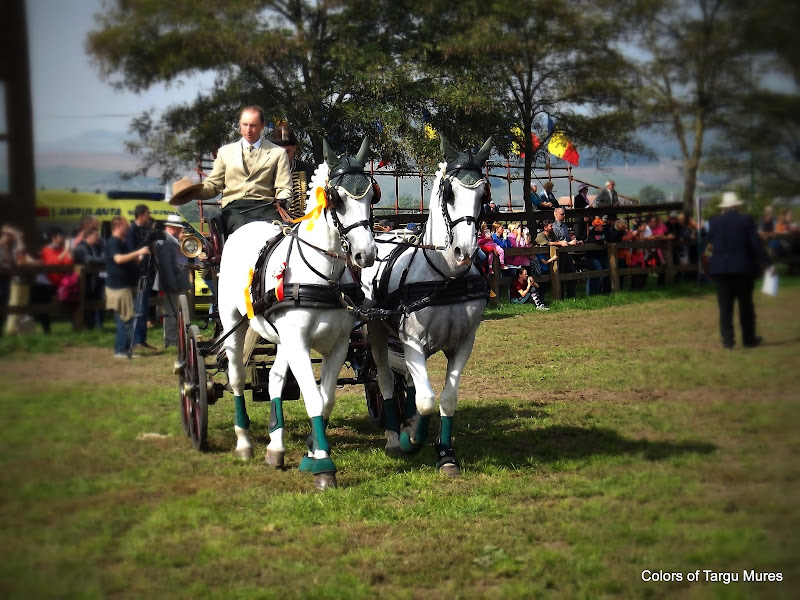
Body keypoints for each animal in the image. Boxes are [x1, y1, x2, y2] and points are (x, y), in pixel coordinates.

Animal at [217, 138, 380, 490]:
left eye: (371, 195)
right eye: (337, 198)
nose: (366, 254)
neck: (323, 275)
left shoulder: (337, 345)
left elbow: (325, 399)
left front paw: (311, 451)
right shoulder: (300, 344)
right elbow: (314, 399)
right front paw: (324, 467)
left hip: (284, 339)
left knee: (276, 379)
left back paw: (275, 448)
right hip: (233, 323)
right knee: (236, 378)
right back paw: (244, 442)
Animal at [360, 135, 488, 474]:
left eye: (484, 193)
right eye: (451, 192)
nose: (465, 250)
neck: (445, 278)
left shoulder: (463, 343)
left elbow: (446, 398)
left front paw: (446, 454)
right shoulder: (413, 341)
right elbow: (426, 400)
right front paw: (411, 439)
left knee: (409, 382)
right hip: (377, 329)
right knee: (386, 379)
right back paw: (394, 436)